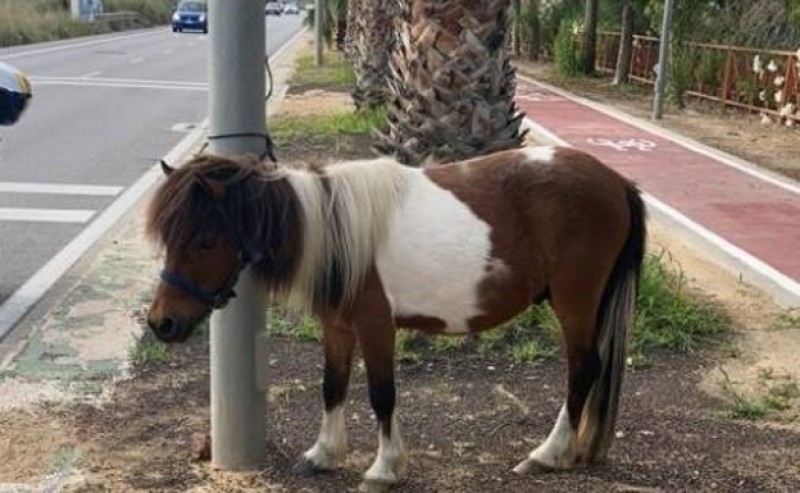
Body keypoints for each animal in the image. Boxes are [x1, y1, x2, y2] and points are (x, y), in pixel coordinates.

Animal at [147, 146, 648, 488]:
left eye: (206, 240)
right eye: (169, 238)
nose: (160, 324)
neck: (334, 230)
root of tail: (617, 181)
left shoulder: (375, 326)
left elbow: (381, 395)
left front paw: (384, 467)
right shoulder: (337, 326)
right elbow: (332, 387)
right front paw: (323, 453)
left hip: (575, 302)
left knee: (583, 370)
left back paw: (547, 453)